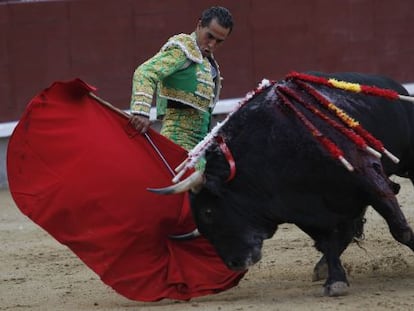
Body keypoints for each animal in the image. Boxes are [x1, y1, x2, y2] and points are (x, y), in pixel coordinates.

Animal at [155, 72, 414, 296]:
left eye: (208, 212)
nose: (235, 263)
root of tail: (394, 86)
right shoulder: (297, 207)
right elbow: (327, 243)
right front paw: (335, 279)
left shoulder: (367, 175)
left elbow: (399, 229)